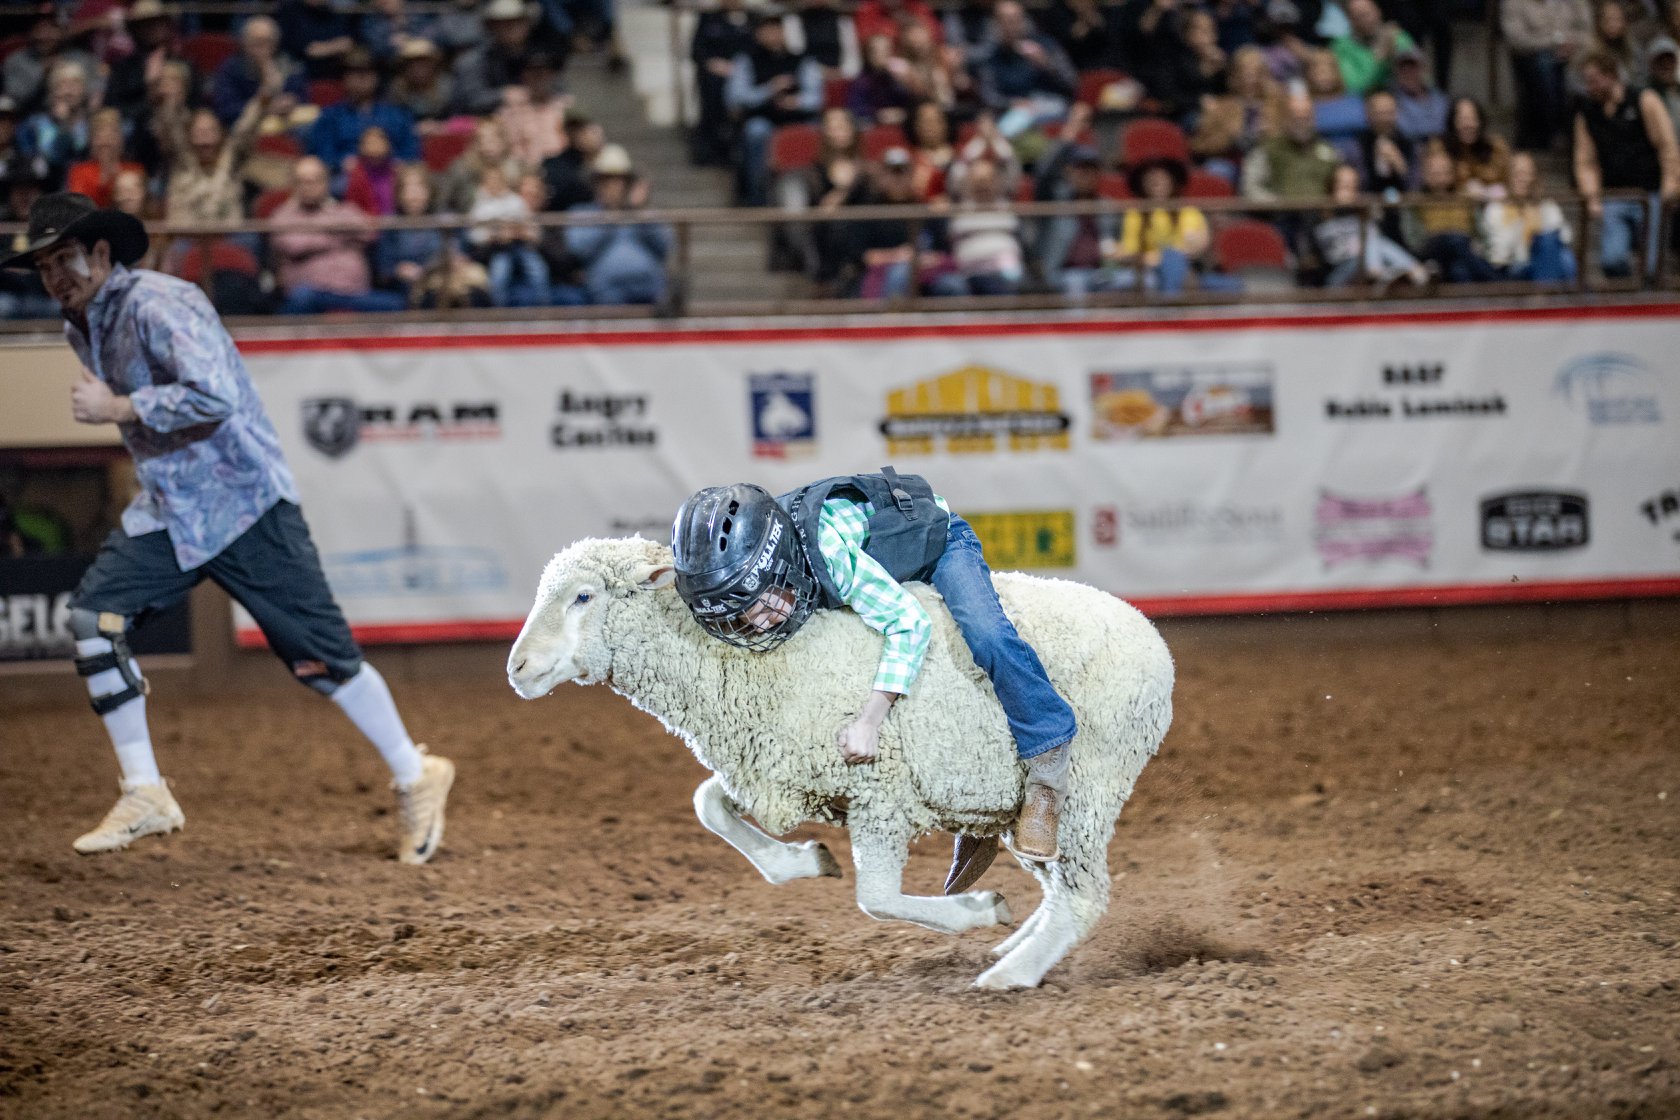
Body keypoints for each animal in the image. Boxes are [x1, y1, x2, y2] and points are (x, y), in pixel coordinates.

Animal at [507, 535, 1174, 989]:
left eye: (584, 595)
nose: (516, 668)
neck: (749, 663)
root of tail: (1151, 638)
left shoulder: (879, 791)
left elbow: (875, 899)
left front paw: (975, 911)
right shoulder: (776, 769)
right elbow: (708, 805)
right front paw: (804, 861)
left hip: (1090, 784)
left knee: (1082, 896)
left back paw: (1011, 973)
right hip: (1022, 809)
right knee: (1060, 888)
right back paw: (1015, 951)